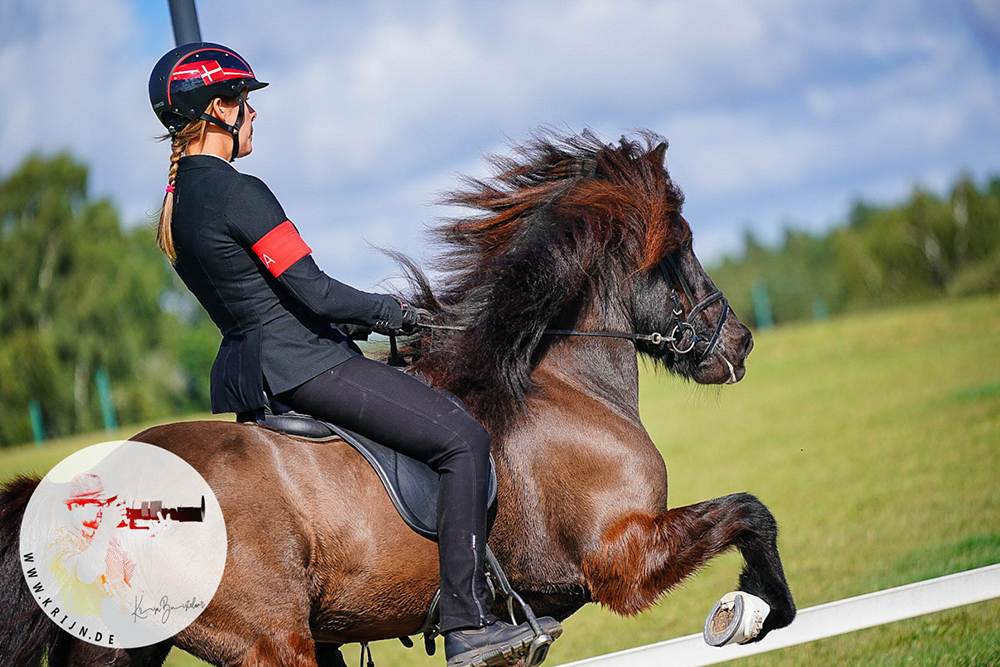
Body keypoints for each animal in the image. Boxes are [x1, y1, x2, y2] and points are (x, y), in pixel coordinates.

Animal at [1, 130, 796, 667]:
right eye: (680, 247)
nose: (739, 344)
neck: (558, 383)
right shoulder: (620, 556)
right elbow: (750, 510)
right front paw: (757, 609)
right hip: (272, 641)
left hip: (123, 646)